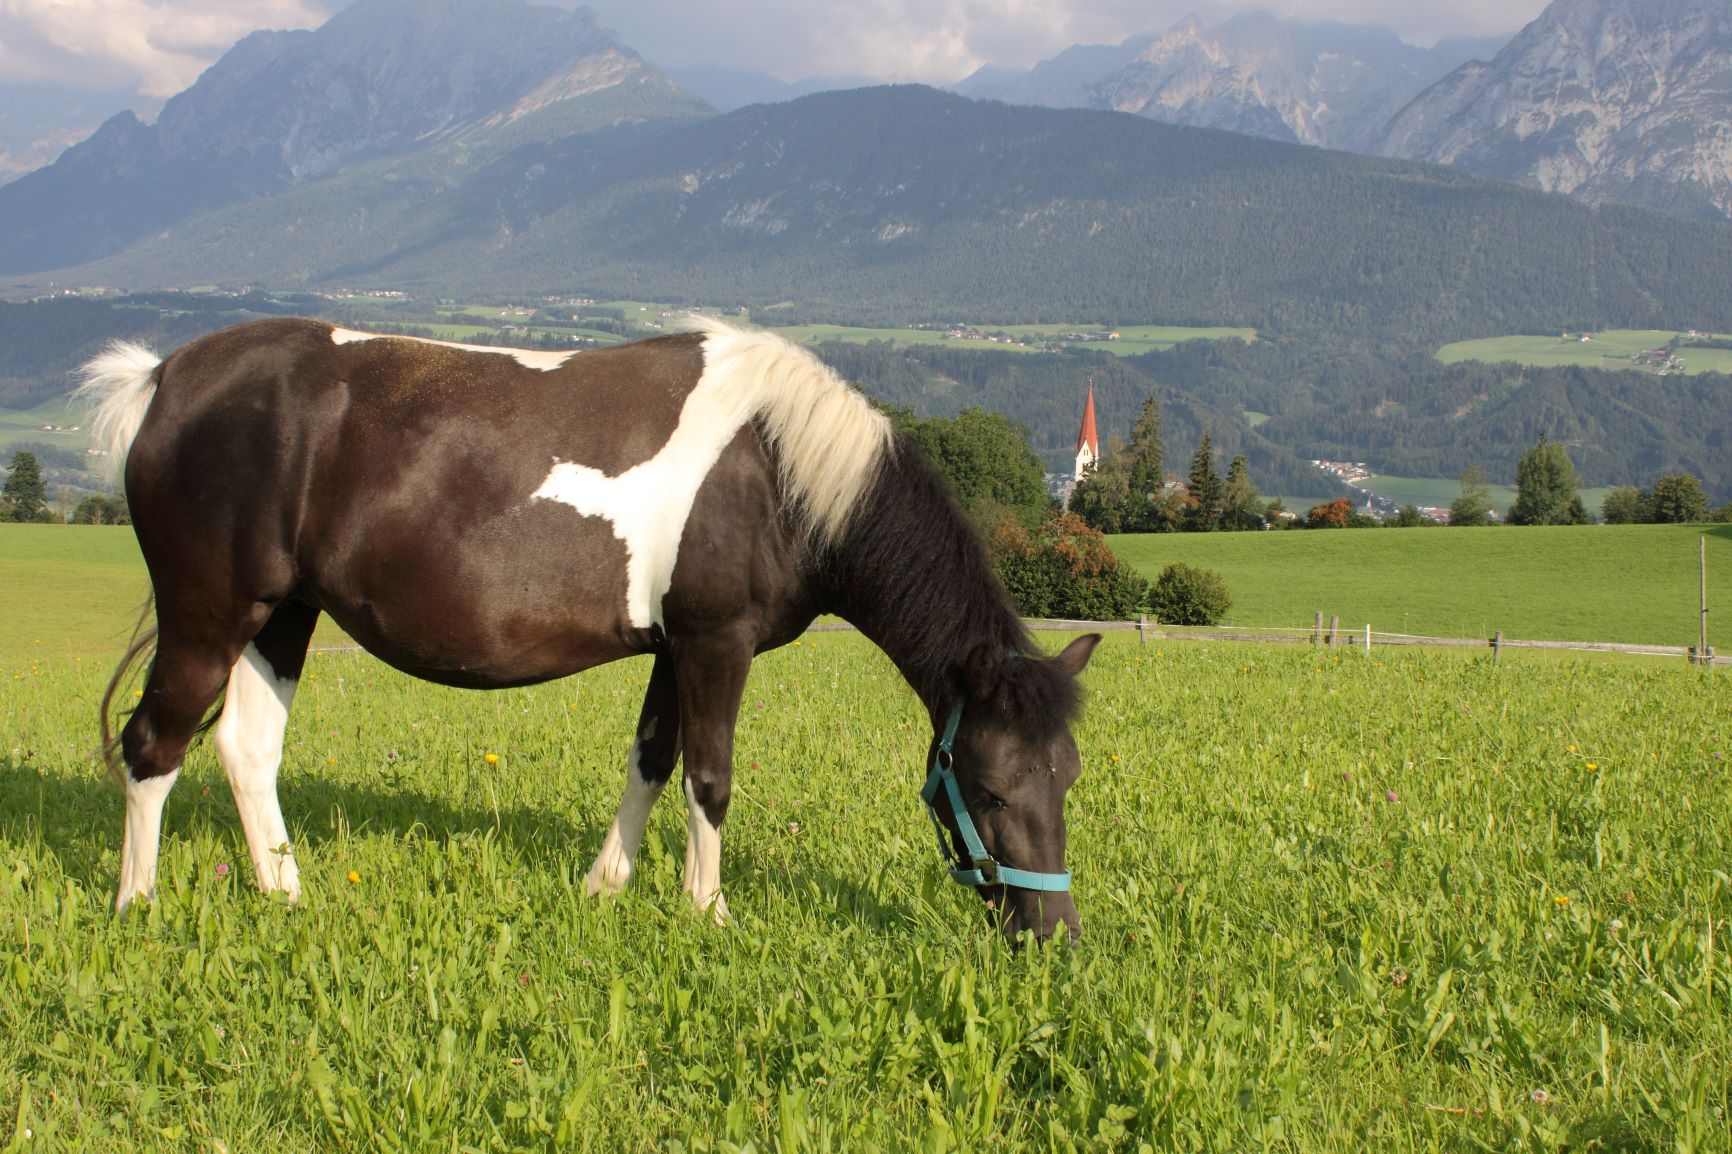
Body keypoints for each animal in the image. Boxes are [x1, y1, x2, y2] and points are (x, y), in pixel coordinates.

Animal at [77, 311, 1094, 935]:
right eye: (989, 790)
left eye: (1067, 780)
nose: (1053, 935)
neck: (780, 471)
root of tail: (163, 379)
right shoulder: (717, 643)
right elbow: (710, 776)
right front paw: (708, 912)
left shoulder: (675, 648)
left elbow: (652, 757)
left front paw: (606, 886)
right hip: (209, 616)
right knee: (153, 744)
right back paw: (139, 907)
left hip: (281, 616)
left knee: (246, 748)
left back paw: (285, 894)